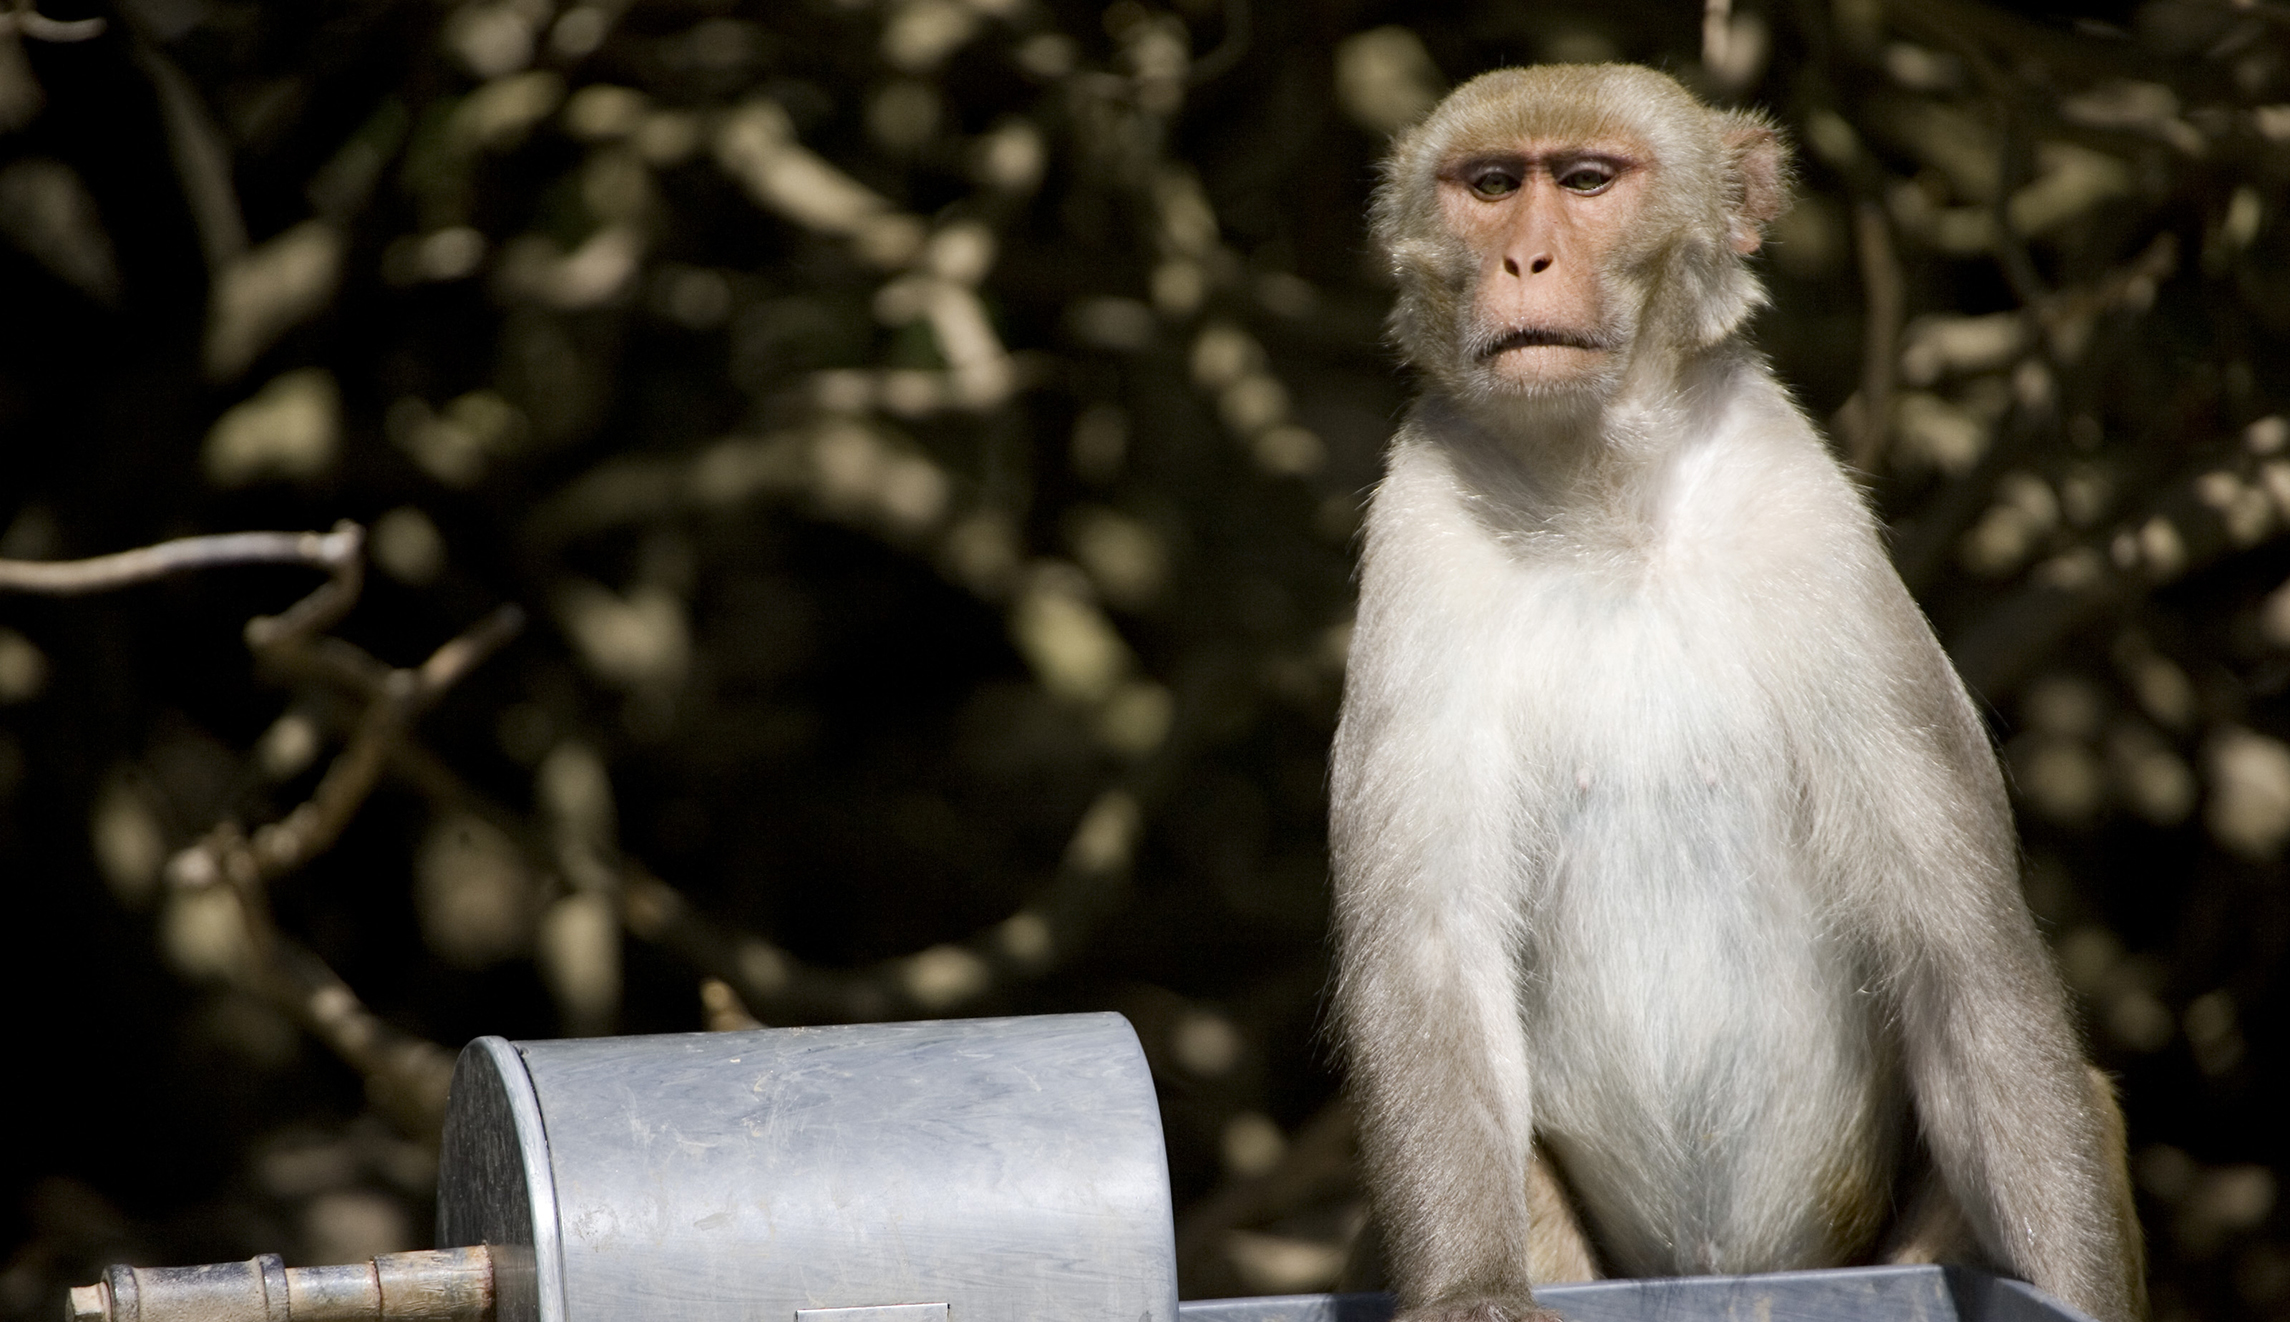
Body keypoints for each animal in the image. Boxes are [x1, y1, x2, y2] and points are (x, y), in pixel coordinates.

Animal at [1327, 64, 2144, 1322]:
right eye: (1491, 185)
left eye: (1586, 181)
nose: (1523, 259)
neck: (1605, 498)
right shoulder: (1419, 537)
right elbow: (1430, 947)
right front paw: (1469, 1288)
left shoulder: (1809, 524)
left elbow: (1961, 956)